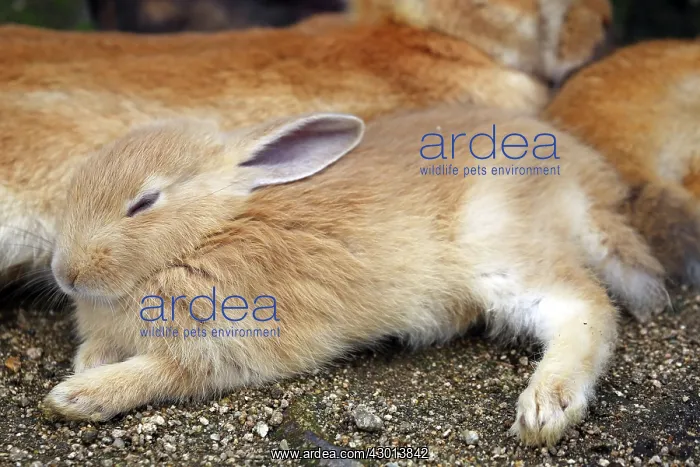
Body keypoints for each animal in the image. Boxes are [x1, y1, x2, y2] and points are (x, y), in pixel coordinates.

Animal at [43, 104, 668, 446]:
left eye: (143, 203)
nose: (65, 274)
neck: (209, 232)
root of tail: (583, 182)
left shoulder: (227, 345)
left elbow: (157, 373)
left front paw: (77, 396)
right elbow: (102, 349)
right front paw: (87, 366)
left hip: (502, 257)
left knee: (587, 306)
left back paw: (546, 407)